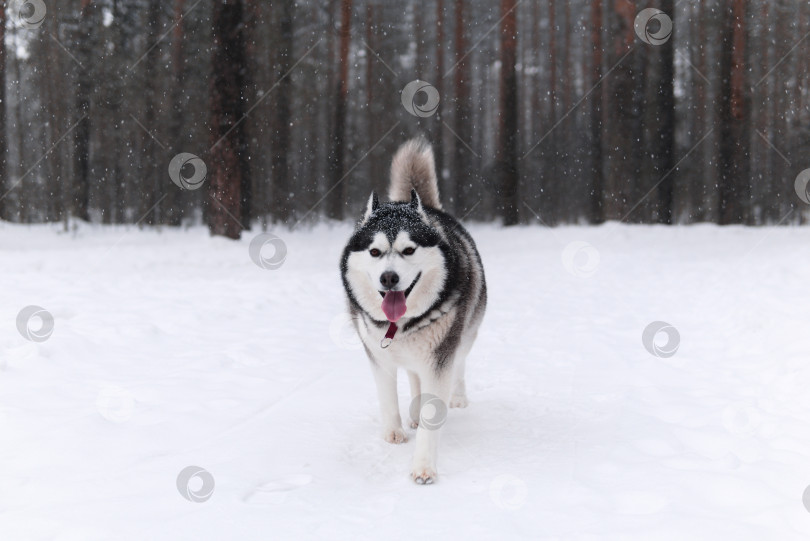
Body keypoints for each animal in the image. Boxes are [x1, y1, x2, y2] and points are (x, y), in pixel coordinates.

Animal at [340, 137, 486, 484]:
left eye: (409, 250)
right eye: (375, 251)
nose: (388, 277)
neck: (402, 324)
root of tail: (429, 208)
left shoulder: (440, 357)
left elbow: (434, 410)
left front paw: (424, 467)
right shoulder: (378, 353)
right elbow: (388, 395)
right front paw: (394, 432)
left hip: (465, 335)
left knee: (460, 364)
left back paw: (457, 397)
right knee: (413, 376)